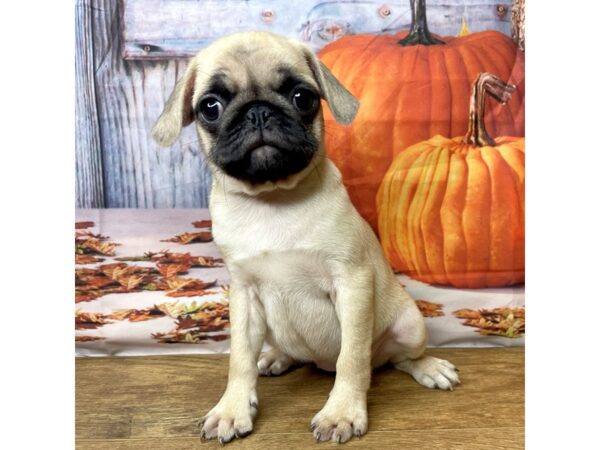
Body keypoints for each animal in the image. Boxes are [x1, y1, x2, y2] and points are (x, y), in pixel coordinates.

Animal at [151, 30, 460, 442]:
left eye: (302, 97)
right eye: (210, 107)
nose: (258, 111)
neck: (273, 200)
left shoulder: (352, 284)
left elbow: (352, 357)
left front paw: (341, 412)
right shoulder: (244, 295)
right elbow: (239, 359)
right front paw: (232, 408)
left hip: (410, 325)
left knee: (396, 358)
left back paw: (429, 367)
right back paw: (276, 358)